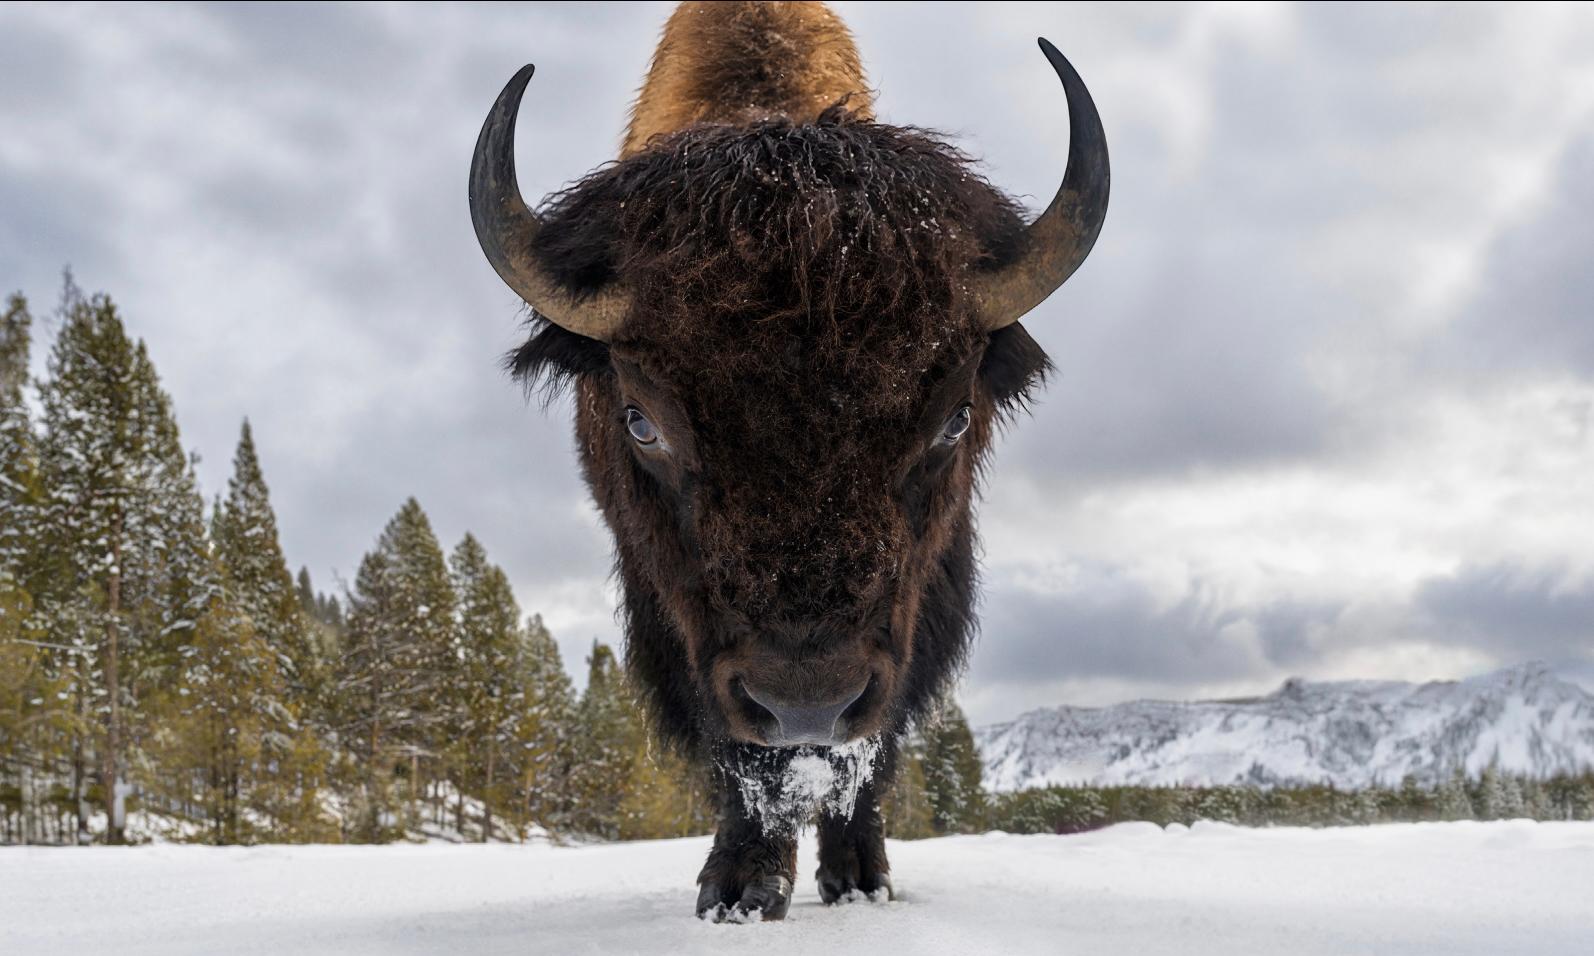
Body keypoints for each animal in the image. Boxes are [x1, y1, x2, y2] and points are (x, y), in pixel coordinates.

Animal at [469, 0, 1108, 921]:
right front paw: (738, 889)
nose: (807, 701)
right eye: (641, 421)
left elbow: (870, 749)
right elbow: (737, 752)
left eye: (954, 418)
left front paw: (860, 878)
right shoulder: (669, 608)